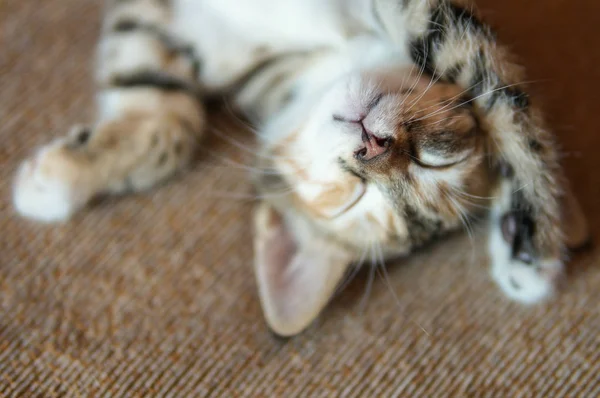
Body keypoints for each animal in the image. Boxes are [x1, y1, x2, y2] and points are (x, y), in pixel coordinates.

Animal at [11, 0, 588, 336]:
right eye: (354, 195)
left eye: (427, 163)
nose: (372, 147)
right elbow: (499, 91)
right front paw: (536, 234)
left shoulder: (155, 27)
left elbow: (166, 124)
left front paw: (55, 179)